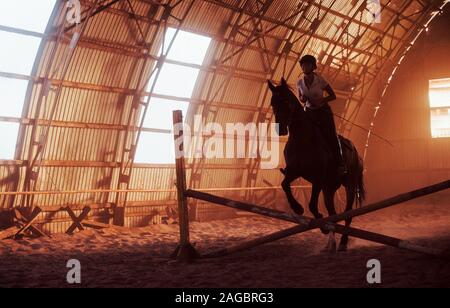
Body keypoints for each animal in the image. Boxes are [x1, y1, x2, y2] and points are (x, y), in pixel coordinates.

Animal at [268, 77, 366, 253]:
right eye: (273, 103)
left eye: (286, 101)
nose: (281, 129)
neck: (302, 139)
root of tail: (356, 153)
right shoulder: (295, 172)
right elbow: (285, 184)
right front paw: (297, 208)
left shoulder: (318, 179)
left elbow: (313, 205)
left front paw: (319, 222)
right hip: (329, 189)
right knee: (334, 214)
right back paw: (330, 245)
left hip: (349, 185)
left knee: (348, 214)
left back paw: (342, 243)